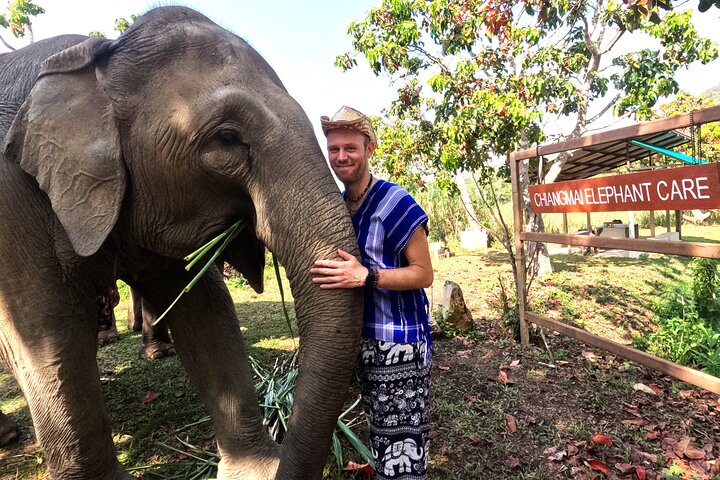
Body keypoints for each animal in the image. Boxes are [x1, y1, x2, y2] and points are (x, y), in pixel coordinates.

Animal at [0, 5, 362, 478]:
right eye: (227, 138)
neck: (97, 58)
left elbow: (207, 309)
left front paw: (254, 470)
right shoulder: (11, 203)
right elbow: (48, 333)